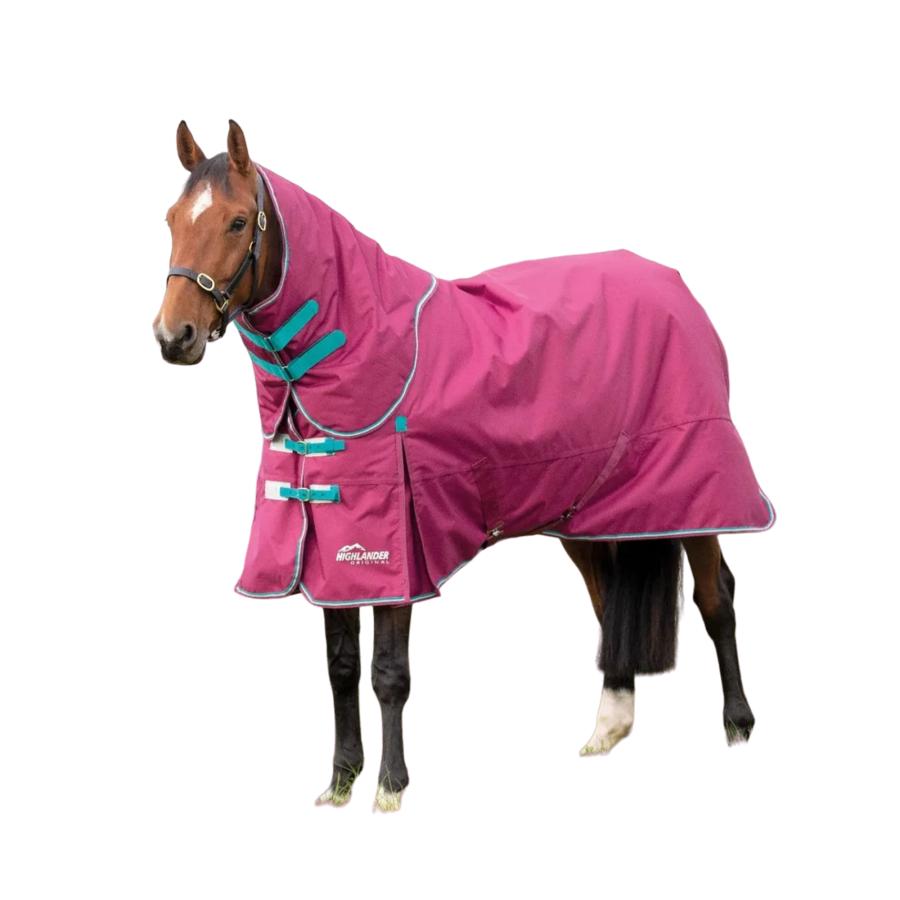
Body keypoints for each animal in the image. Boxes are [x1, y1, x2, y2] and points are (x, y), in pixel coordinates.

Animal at [153, 120, 772, 812]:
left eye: (237, 222)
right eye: (172, 218)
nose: (173, 336)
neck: (360, 343)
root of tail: (675, 287)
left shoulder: (394, 544)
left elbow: (388, 674)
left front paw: (390, 789)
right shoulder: (328, 545)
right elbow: (341, 668)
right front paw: (340, 782)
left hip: (697, 493)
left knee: (717, 599)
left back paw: (738, 728)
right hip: (588, 511)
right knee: (609, 600)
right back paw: (608, 727)